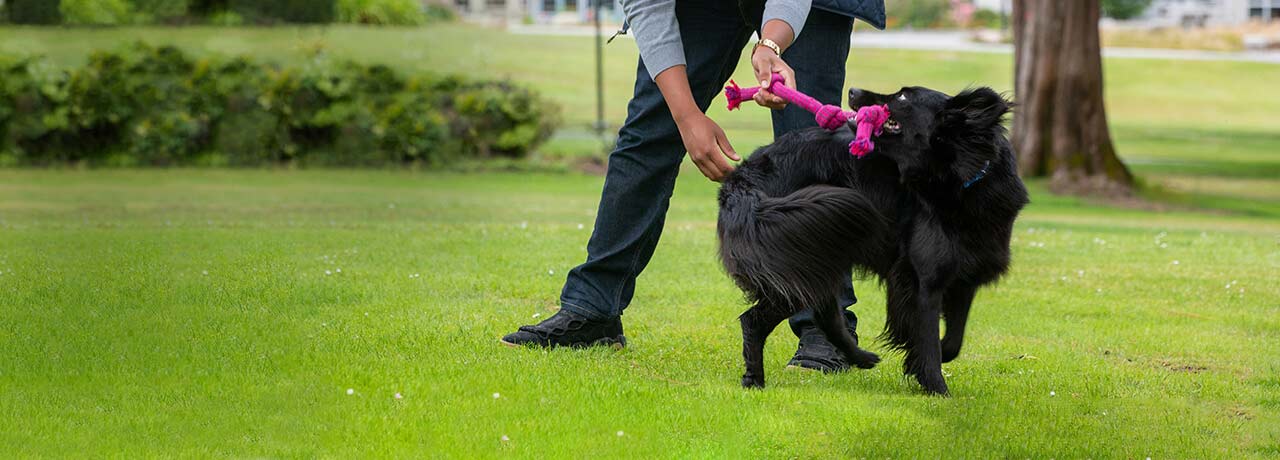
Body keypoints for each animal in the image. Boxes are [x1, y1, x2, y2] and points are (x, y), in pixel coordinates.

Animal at [721, 84, 1029, 394]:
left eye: (903, 97)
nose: (853, 90)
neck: (963, 178)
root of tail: (744, 181)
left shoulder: (964, 279)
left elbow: (953, 341)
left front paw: (919, 363)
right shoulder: (922, 282)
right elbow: (929, 340)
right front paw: (936, 389)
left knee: (816, 317)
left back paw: (854, 359)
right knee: (756, 320)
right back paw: (757, 379)